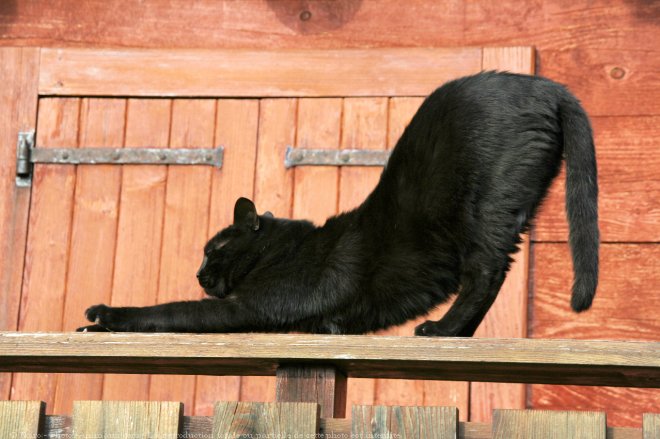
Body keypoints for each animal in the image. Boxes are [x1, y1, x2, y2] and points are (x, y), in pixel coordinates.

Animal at [77, 72, 600, 336]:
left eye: (213, 249)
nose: (199, 273)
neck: (283, 251)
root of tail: (547, 85)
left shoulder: (253, 306)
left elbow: (171, 311)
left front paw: (105, 318)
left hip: (485, 208)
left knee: (487, 272)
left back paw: (442, 330)